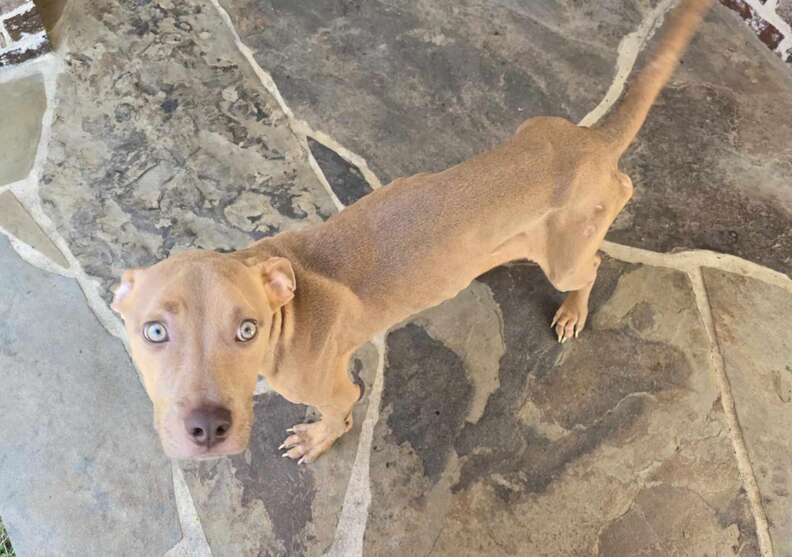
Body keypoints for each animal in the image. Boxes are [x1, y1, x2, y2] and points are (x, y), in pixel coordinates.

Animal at [110, 0, 712, 460]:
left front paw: (318, 440)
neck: (289, 309)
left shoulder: (338, 388)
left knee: (592, 265)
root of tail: (593, 141)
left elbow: (337, 416)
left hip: (567, 255)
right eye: (154, 331)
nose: (208, 427)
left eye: (247, 329)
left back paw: (573, 311)